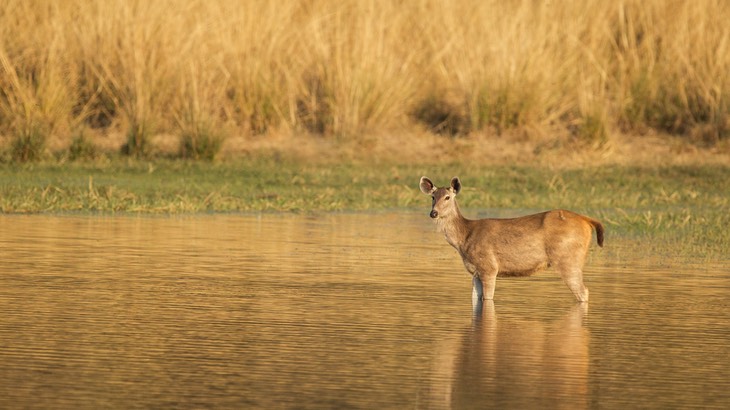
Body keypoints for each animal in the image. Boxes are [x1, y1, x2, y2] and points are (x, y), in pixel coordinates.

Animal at [418, 175, 600, 302]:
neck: (464, 237)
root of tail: (587, 220)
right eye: (433, 197)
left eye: (447, 197)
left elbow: (488, 299)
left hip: (567, 258)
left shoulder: (489, 267)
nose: (433, 213)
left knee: (584, 292)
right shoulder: (475, 271)